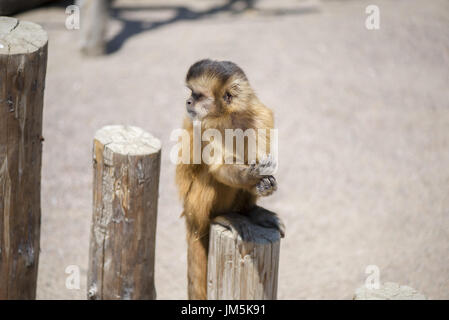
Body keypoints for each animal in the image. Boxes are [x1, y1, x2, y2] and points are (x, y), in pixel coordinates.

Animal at [175, 59, 284, 300]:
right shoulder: (205, 124)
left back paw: (250, 211)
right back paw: (222, 217)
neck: (228, 115)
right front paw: (253, 175)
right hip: (194, 206)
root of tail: (191, 218)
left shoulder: (260, 114)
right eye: (191, 93)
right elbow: (218, 169)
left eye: (198, 95)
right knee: (212, 178)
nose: (188, 101)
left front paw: (264, 182)